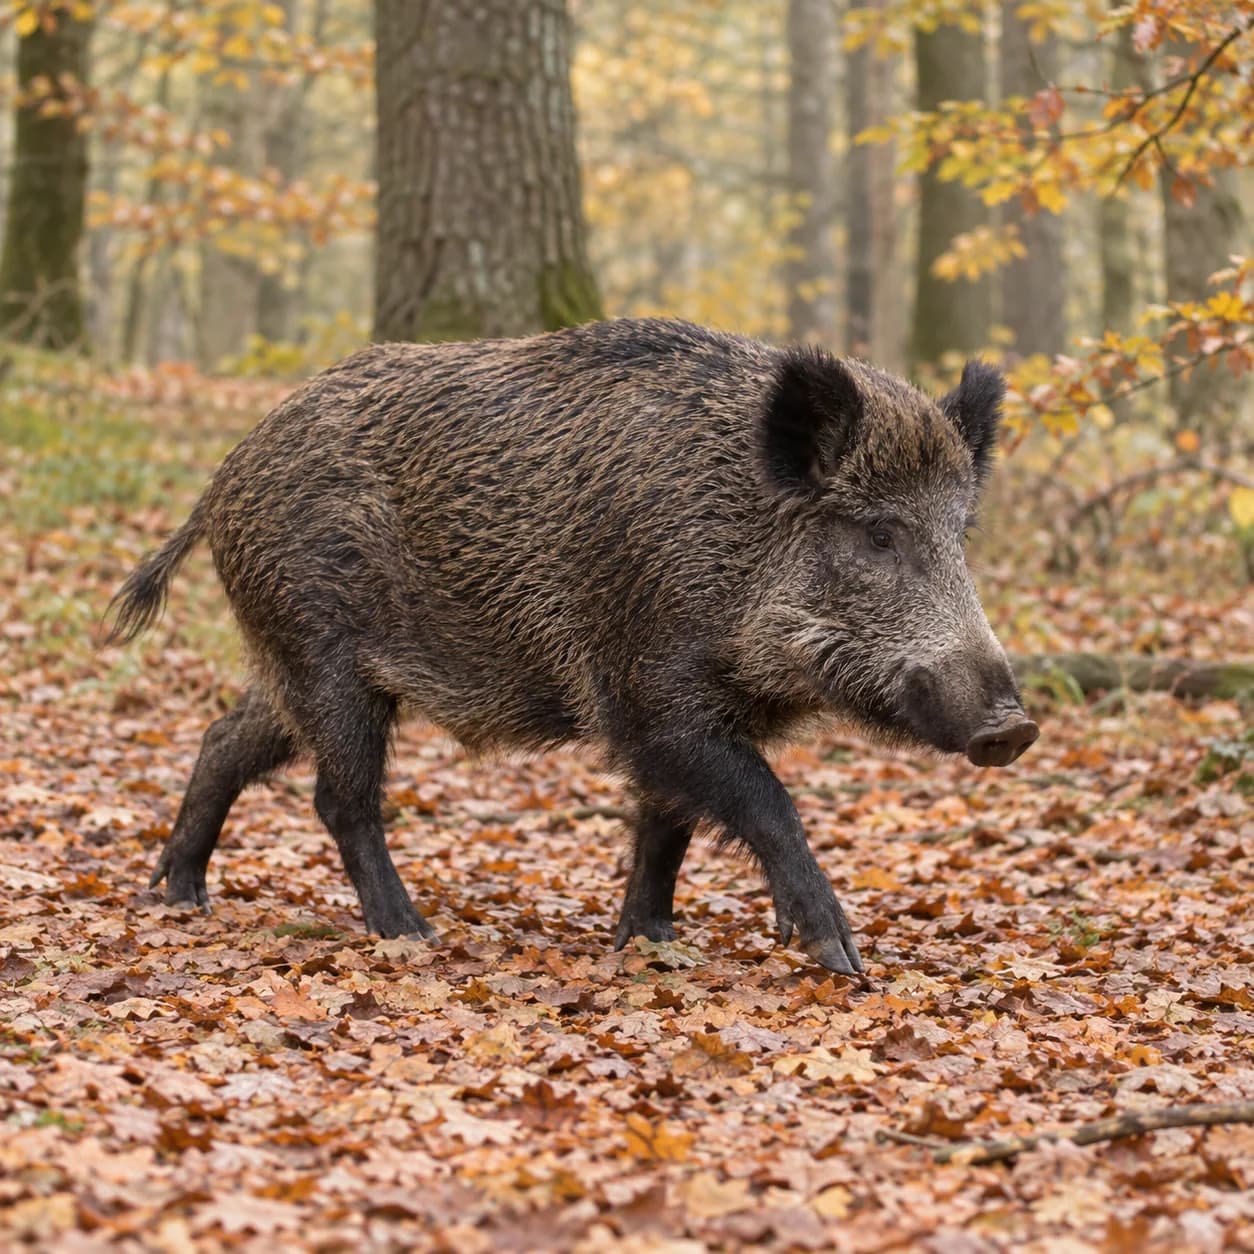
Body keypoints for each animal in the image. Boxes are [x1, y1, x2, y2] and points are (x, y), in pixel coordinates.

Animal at [106, 318, 1038, 975]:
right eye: (878, 534)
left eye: (960, 533)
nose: (1013, 727)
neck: (734, 544)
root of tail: (224, 478)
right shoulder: (648, 694)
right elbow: (761, 804)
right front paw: (840, 957)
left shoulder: (685, 712)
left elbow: (667, 828)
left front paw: (649, 942)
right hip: (326, 656)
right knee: (340, 799)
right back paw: (410, 933)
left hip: (293, 665)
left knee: (224, 739)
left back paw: (181, 896)